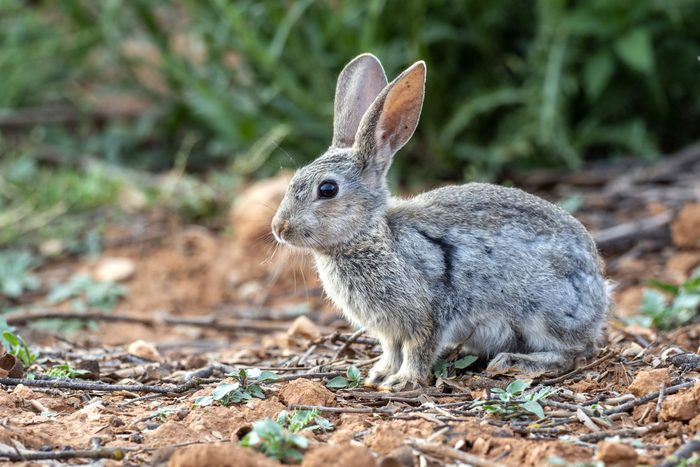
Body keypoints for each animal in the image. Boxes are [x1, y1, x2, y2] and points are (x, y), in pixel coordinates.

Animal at [271, 53, 610, 391]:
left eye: (327, 189)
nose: (279, 228)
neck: (371, 234)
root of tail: (599, 289)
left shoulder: (428, 313)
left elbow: (419, 347)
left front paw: (404, 380)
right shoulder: (391, 330)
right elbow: (392, 349)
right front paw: (380, 374)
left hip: (546, 313)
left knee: (577, 351)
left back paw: (515, 361)